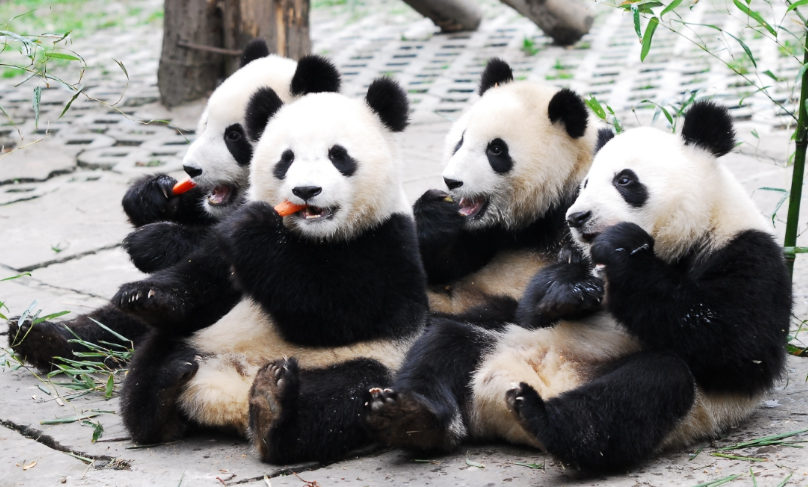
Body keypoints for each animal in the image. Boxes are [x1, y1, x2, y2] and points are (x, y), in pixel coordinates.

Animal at [6, 40, 310, 371]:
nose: (190, 169)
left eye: (234, 135)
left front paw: (150, 241)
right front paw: (150, 196)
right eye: (204, 125)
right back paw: (44, 337)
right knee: (118, 316)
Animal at [120, 77, 430, 464]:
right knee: (153, 357)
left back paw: (273, 408)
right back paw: (161, 397)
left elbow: (338, 312)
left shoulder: (388, 242)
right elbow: (201, 280)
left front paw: (253, 227)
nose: (306, 190)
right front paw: (145, 295)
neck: (311, 236)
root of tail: (230, 393)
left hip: (369, 359)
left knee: (343, 397)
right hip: (200, 339)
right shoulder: (220, 253)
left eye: (338, 155)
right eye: (286, 159)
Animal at [370, 101, 790, 471]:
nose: (577, 216)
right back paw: (411, 416)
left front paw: (621, 250)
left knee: (641, 391)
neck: (679, 243)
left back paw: (546, 420)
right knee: (446, 342)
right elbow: (529, 305)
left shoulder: (748, 252)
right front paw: (568, 293)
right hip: (503, 341)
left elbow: (738, 344)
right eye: (585, 183)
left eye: (624, 180)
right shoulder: (563, 257)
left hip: (683, 407)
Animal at [415, 58, 610, 316]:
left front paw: (569, 283)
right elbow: (446, 265)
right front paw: (435, 212)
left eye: (496, 150)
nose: (451, 181)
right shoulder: (489, 233)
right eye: (460, 141)